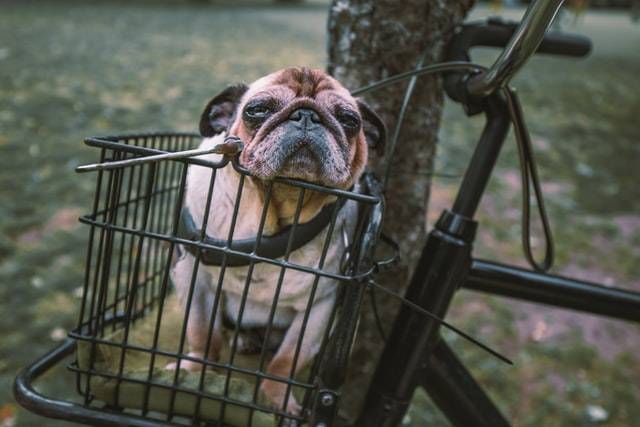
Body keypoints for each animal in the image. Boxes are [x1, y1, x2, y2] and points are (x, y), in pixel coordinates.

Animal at [170, 68, 384, 420]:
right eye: (257, 110)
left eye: (349, 120)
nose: (307, 115)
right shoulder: (194, 279)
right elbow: (202, 333)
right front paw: (192, 371)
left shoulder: (318, 308)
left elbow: (285, 362)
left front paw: (277, 400)